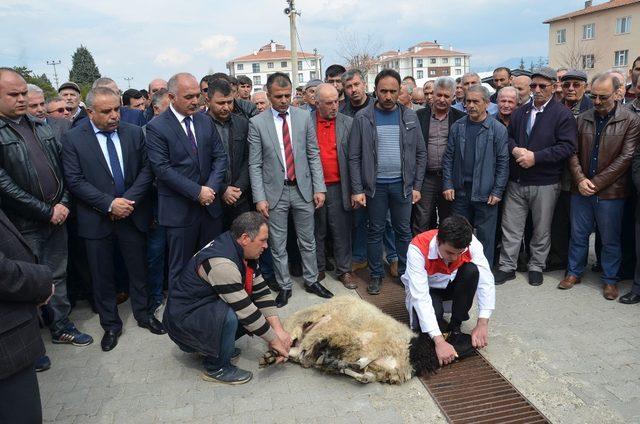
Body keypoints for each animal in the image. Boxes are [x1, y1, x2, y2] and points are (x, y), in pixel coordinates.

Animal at [258, 296, 472, 382]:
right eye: (458, 336)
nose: (476, 344)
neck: (413, 350)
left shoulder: (379, 370)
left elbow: (365, 376)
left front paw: (334, 363)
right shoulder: (373, 342)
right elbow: (361, 362)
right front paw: (333, 361)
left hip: (302, 346)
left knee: (294, 352)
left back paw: (270, 357)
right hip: (303, 320)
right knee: (289, 339)